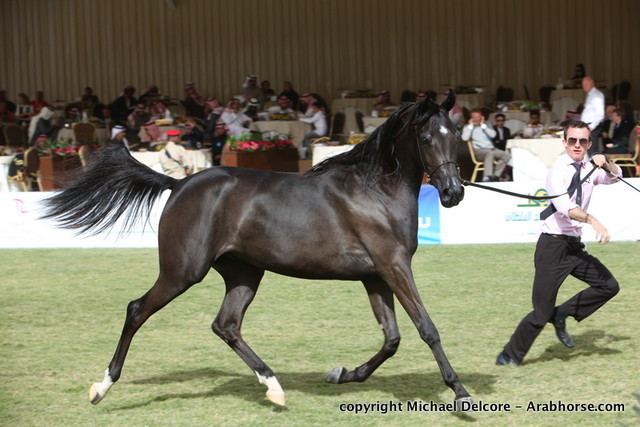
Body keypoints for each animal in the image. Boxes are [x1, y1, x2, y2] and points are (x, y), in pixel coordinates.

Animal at [43, 90, 472, 408]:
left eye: (456, 134)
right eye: (427, 138)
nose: (453, 193)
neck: (375, 191)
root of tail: (178, 184)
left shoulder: (375, 275)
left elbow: (392, 338)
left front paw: (344, 374)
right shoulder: (393, 267)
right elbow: (426, 328)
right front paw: (460, 391)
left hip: (244, 273)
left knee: (226, 325)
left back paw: (274, 388)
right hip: (183, 272)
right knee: (137, 310)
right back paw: (101, 387)